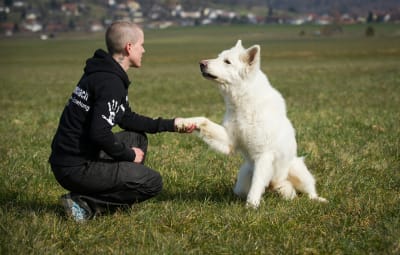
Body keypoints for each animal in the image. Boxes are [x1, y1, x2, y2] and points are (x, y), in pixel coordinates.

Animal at [177, 39, 326, 207]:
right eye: (218, 56)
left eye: (227, 61)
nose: (201, 63)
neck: (243, 102)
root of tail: (274, 185)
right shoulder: (230, 141)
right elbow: (203, 120)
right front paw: (184, 122)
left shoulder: (263, 154)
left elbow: (257, 183)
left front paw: (251, 206)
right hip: (243, 178)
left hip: (297, 170)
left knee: (309, 190)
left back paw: (318, 199)